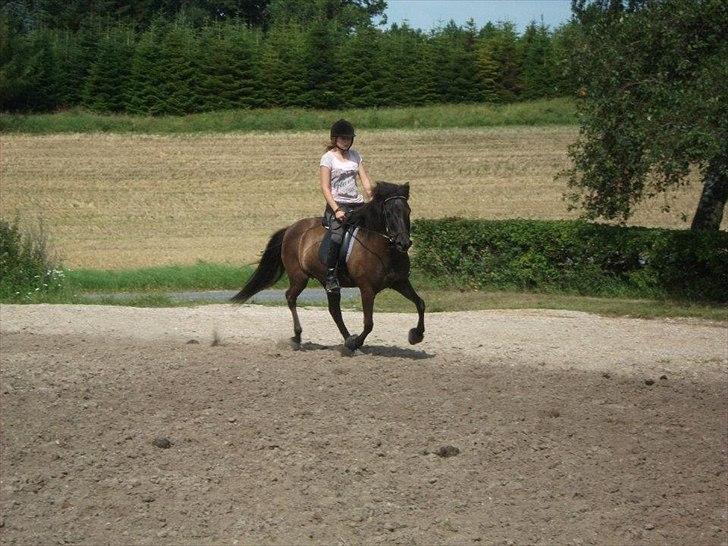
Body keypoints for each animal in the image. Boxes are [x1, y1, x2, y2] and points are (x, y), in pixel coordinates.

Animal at [232, 183, 426, 350]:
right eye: (389, 213)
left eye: (408, 211)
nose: (404, 243)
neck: (384, 248)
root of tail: (290, 228)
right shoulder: (367, 288)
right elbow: (369, 323)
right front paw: (357, 342)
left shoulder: (400, 282)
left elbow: (420, 303)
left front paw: (416, 335)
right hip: (299, 277)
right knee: (291, 297)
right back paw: (298, 336)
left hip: (326, 281)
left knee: (333, 310)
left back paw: (346, 338)